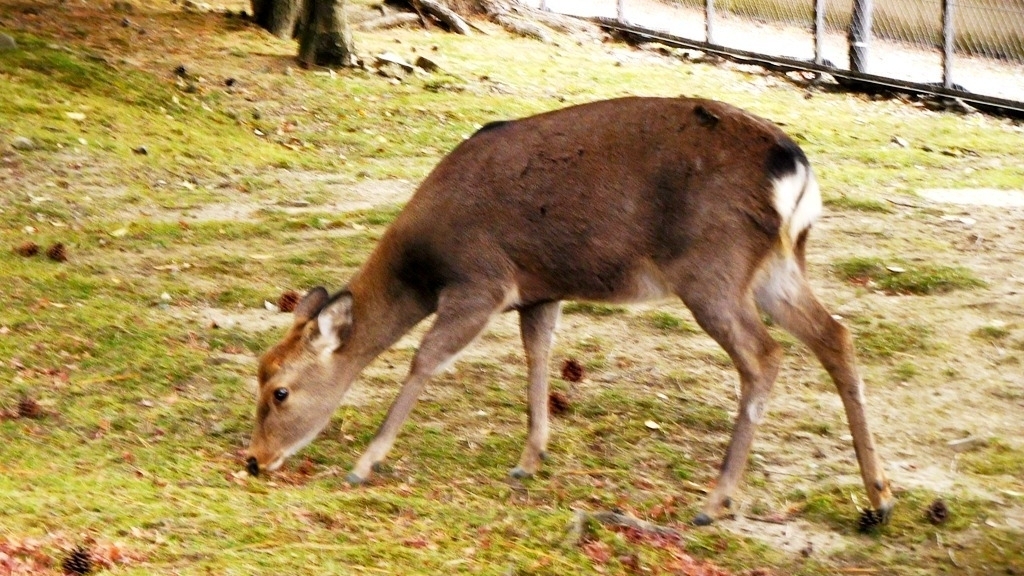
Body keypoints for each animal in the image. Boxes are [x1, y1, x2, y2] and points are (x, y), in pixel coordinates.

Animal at [245, 96, 895, 528]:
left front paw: (364, 463)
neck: (423, 267)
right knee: (837, 336)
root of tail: (795, 169)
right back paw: (879, 499)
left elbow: (425, 360)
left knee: (764, 356)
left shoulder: (481, 280)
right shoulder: (538, 291)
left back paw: (714, 501)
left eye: (279, 390)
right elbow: (538, 357)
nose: (254, 461)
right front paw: (529, 460)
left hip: (712, 270)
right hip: (778, 267)